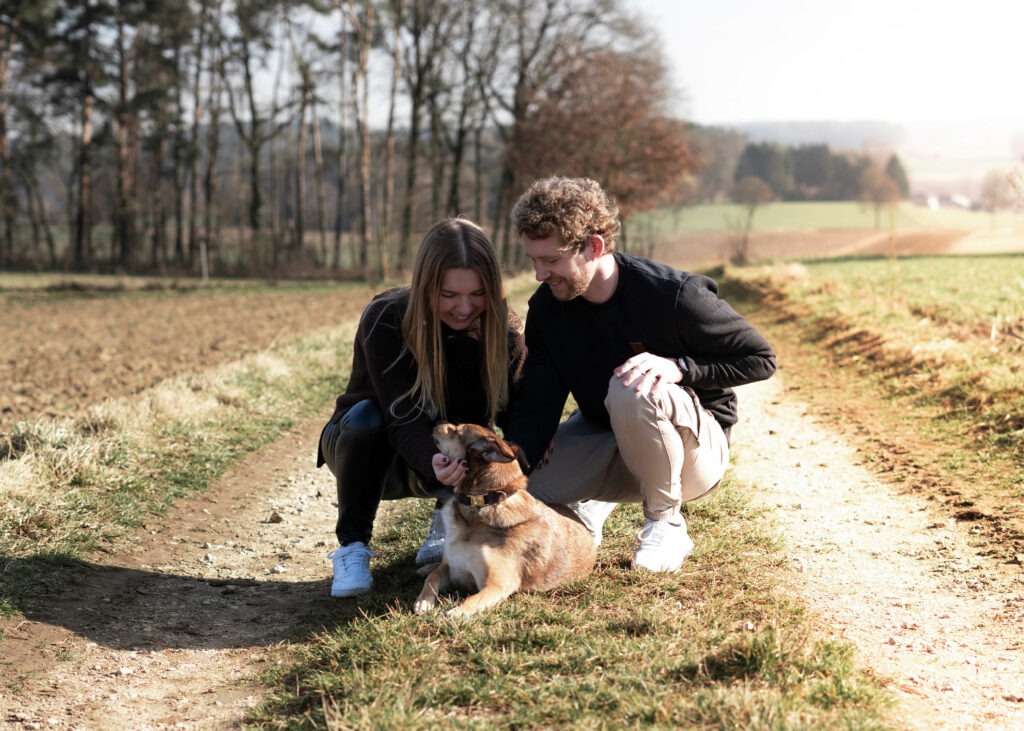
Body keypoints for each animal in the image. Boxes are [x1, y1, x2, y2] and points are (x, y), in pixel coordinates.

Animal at [411, 421, 598, 614]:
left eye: (456, 430)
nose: (438, 423)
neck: (484, 503)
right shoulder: (451, 567)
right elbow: (434, 576)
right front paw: (423, 601)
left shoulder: (497, 584)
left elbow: (471, 599)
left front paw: (456, 612)